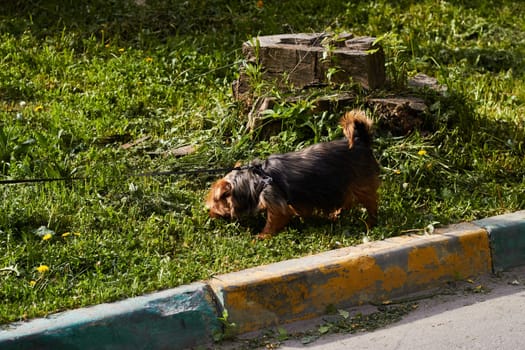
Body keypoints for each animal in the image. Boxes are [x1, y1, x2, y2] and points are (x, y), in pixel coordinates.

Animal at [203, 110, 378, 239]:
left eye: (214, 204)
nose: (208, 213)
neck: (256, 181)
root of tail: (361, 140)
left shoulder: (274, 202)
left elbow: (273, 221)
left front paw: (262, 236)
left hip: (361, 184)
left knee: (370, 204)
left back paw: (370, 223)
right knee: (346, 200)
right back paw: (336, 214)